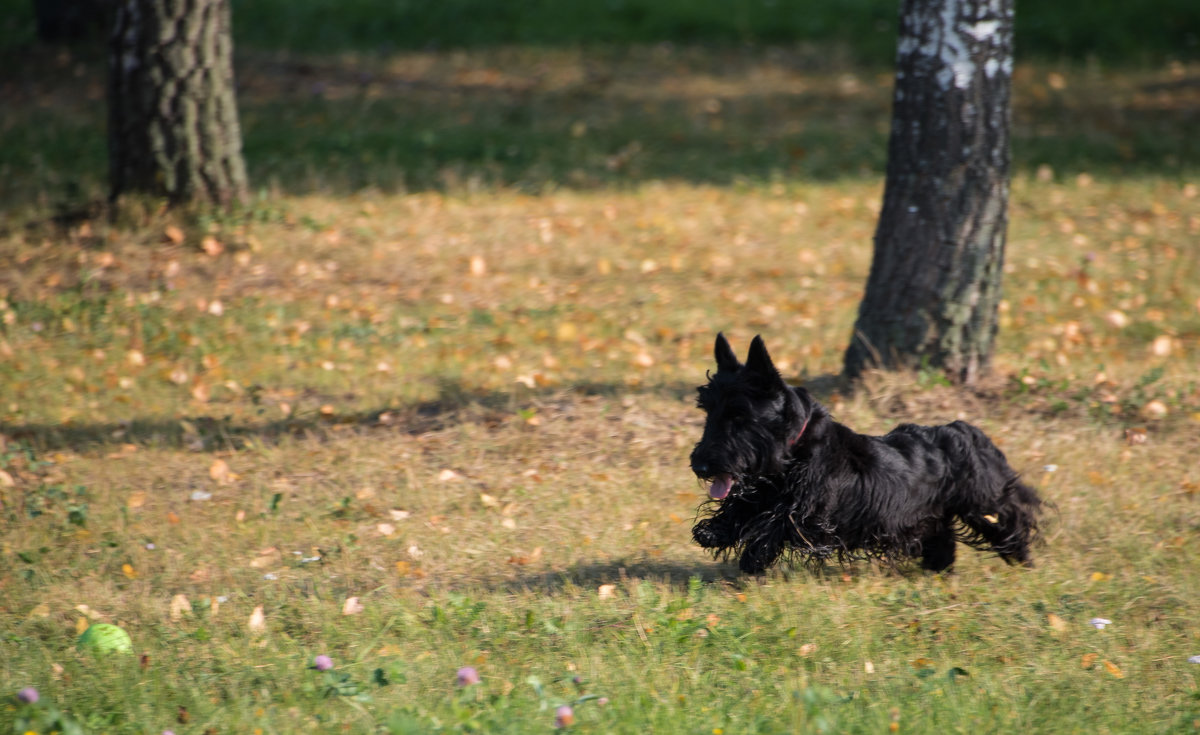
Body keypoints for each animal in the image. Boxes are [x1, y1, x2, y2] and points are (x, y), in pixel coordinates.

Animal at [691, 333, 1046, 574]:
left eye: (740, 416)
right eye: (708, 411)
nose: (701, 466)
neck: (794, 451)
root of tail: (967, 431)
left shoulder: (813, 513)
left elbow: (777, 522)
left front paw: (753, 556)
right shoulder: (763, 489)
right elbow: (742, 508)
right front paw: (711, 532)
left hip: (983, 501)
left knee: (1012, 516)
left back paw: (1024, 559)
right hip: (936, 515)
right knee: (942, 538)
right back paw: (939, 569)